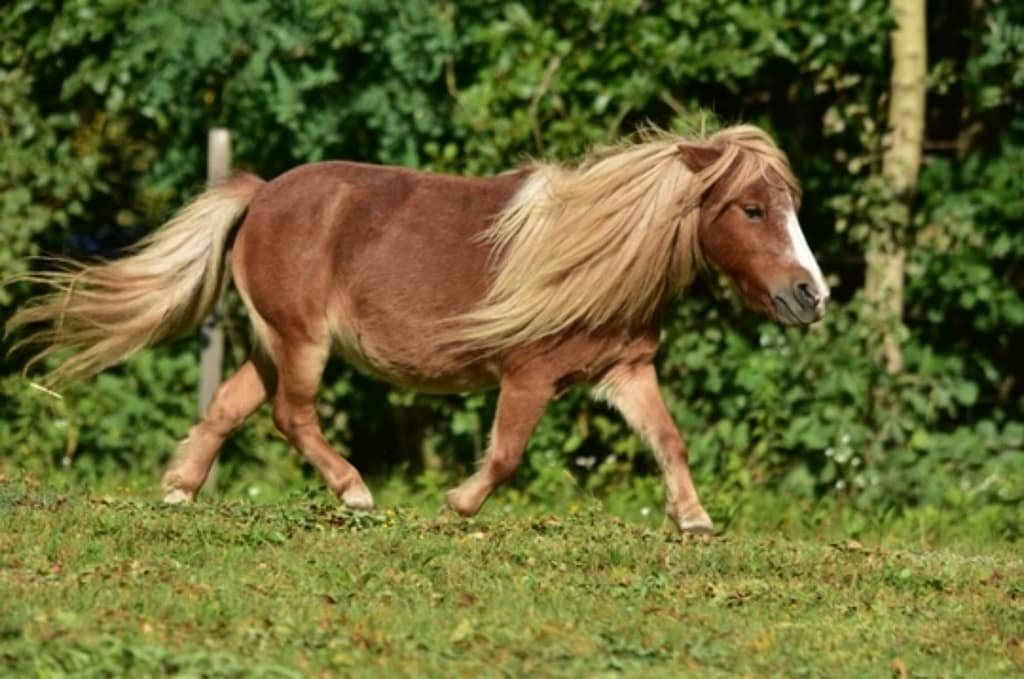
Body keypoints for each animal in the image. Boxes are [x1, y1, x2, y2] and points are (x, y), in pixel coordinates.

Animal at [6, 124, 828, 534]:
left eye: (788, 205)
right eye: (752, 208)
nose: (811, 296)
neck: (593, 252)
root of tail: (262, 192)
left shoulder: (625, 372)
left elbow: (669, 440)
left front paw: (695, 520)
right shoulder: (528, 376)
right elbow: (505, 457)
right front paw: (457, 505)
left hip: (272, 344)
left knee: (228, 408)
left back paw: (180, 492)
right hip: (301, 343)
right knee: (290, 416)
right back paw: (355, 493)